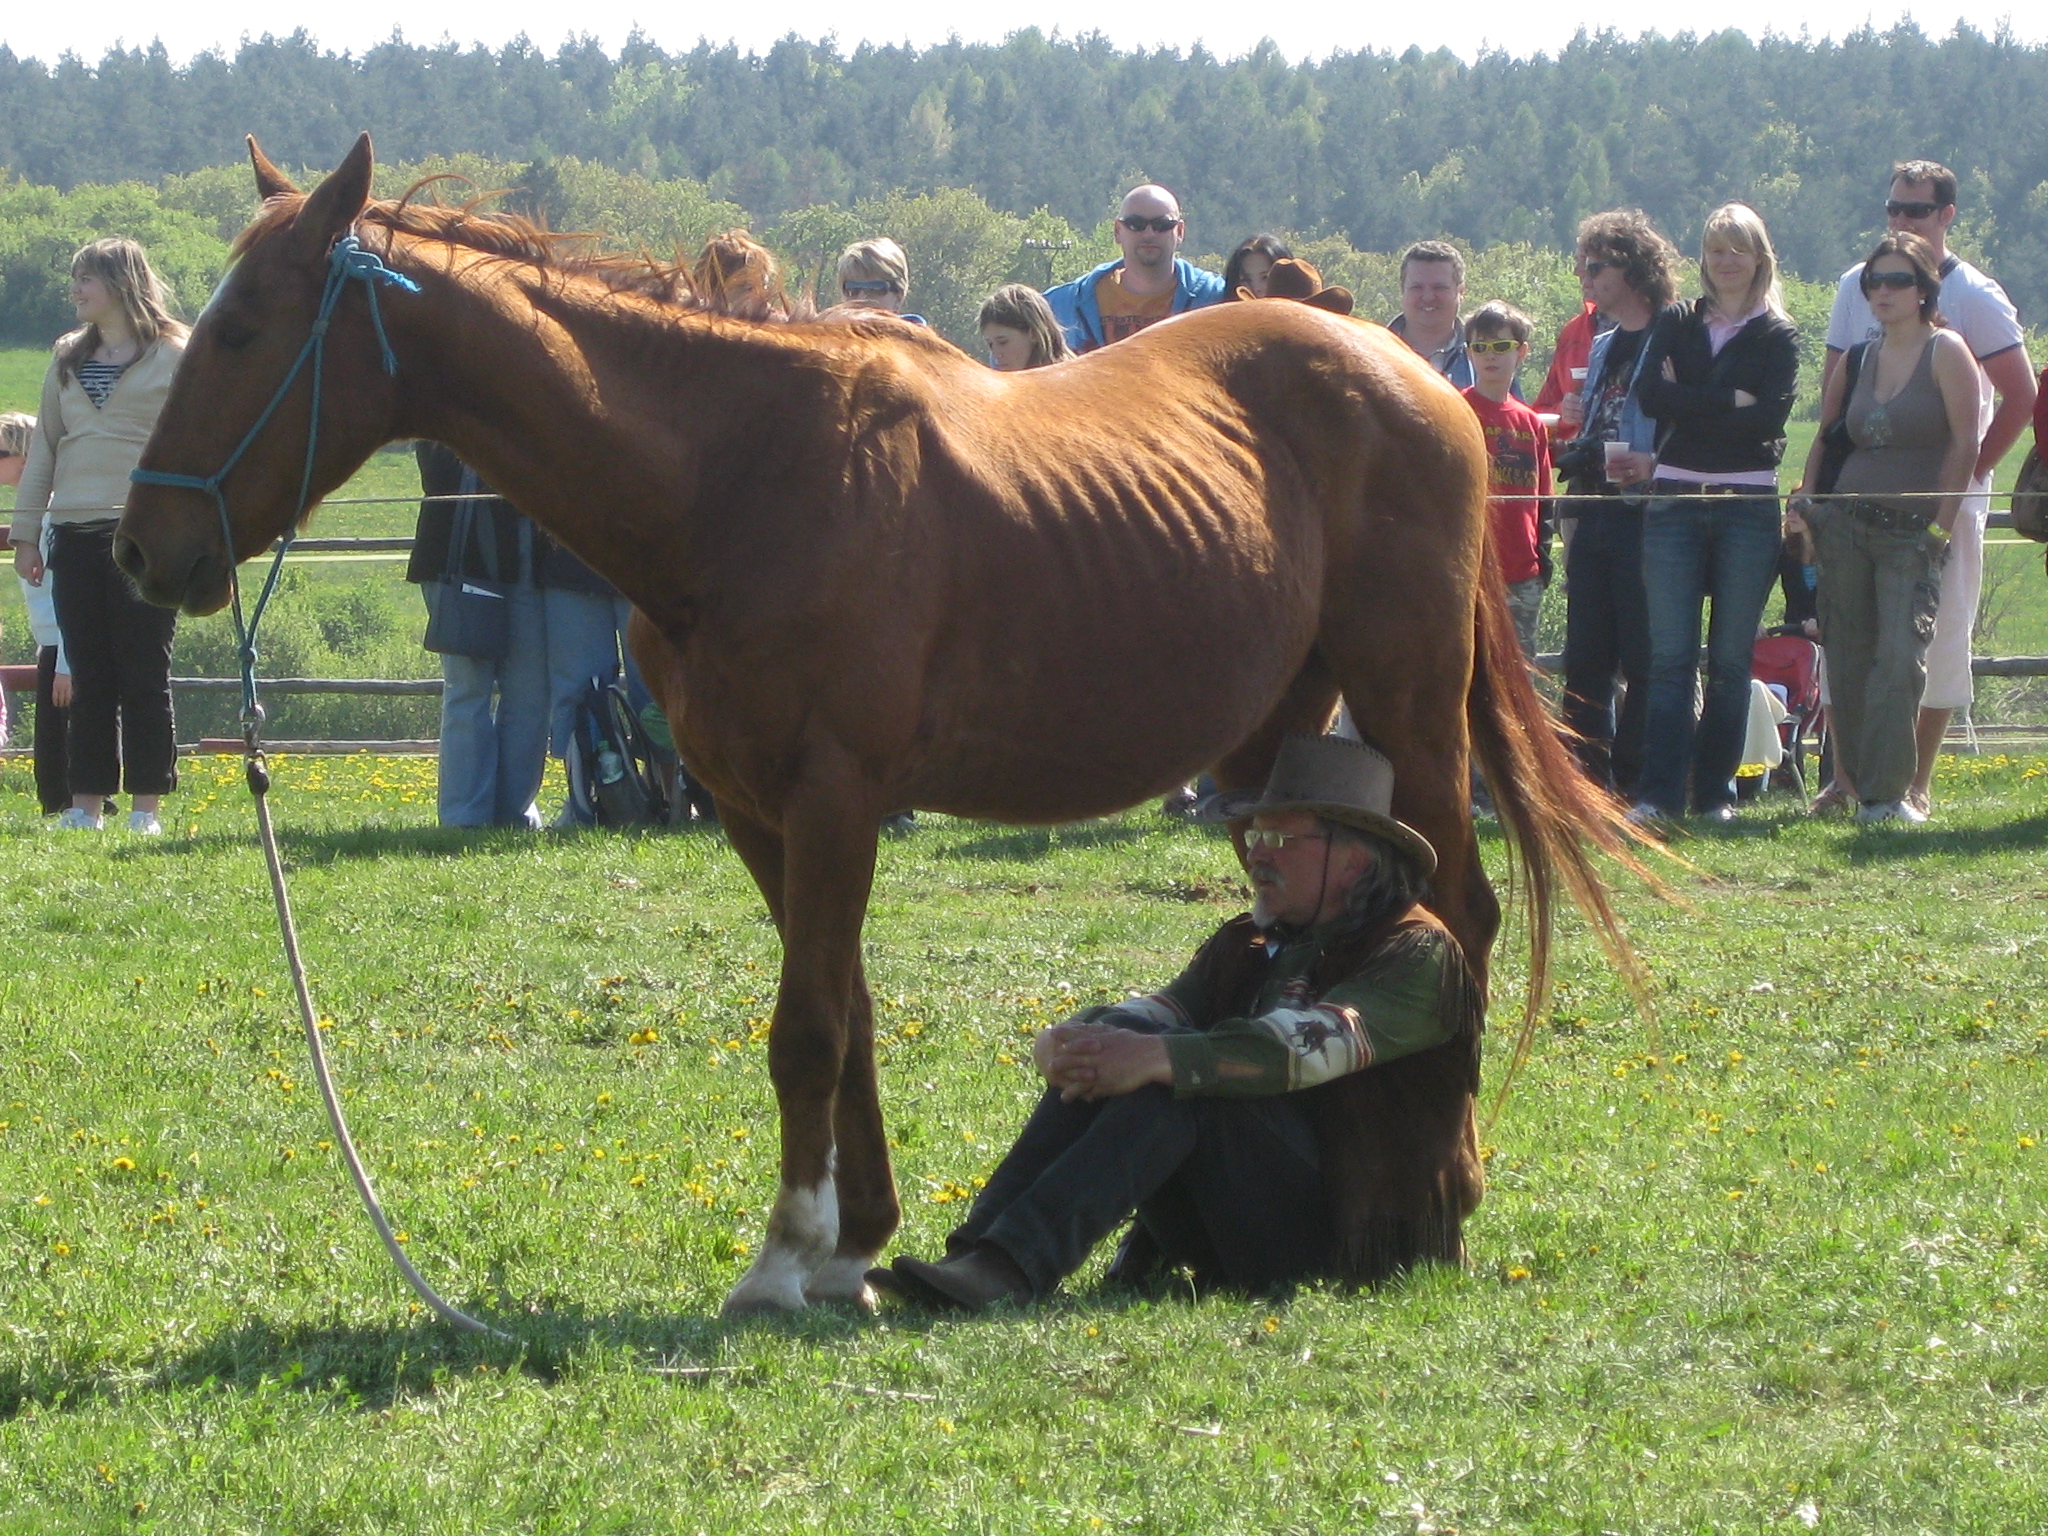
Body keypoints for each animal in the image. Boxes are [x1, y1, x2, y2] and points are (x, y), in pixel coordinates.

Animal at [123, 138, 1630, 1327]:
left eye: (244, 328)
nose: (142, 547)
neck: (742, 475)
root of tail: (1412, 380)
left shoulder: (837, 796)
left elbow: (804, 1025)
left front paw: (784, 1259)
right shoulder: (756, 808)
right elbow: (838, 1007)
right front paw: (852, 1247)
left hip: (1407, 702)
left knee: (1462, 913)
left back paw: (1441, 1191)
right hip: (1275, 730)